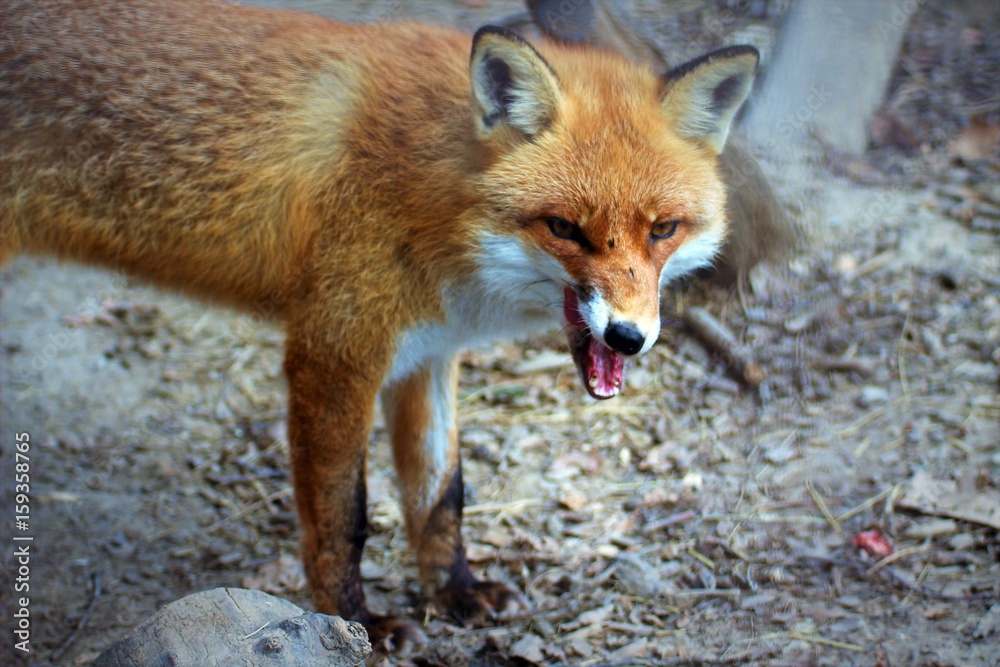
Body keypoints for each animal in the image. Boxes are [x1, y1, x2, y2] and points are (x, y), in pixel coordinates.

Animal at [0, 0, 759, 651]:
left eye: (662, 229)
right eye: (565, 229)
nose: (629, 337)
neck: (437, 200)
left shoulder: (428, 353)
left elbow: (440, 495)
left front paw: (456, 593)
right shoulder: (334, 355)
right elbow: (346, 518)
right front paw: (356, 623)